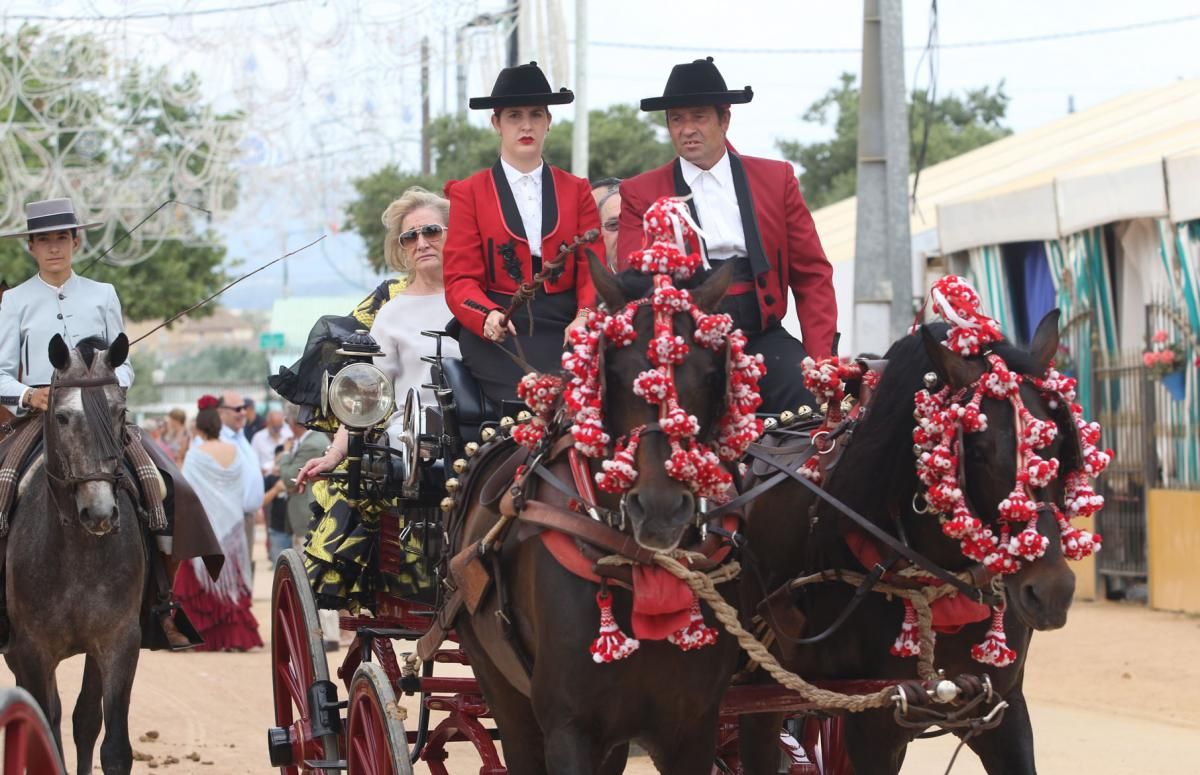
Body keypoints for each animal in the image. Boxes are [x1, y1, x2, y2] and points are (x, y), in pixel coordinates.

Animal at [4, 333, 146, 775]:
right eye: (63, 418)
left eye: (120, 412)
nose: (99, 512)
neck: (78, 554)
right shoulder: (32, 649)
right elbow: (45, 729)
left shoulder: (118, 641)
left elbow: (109, 742)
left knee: (83, 719)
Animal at [451, 261, 744, 775]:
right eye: (614, 370)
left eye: (711, 372)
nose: (661, 509)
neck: (637, 567)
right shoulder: (570, 727)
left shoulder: (693, 726)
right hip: (498, 683)